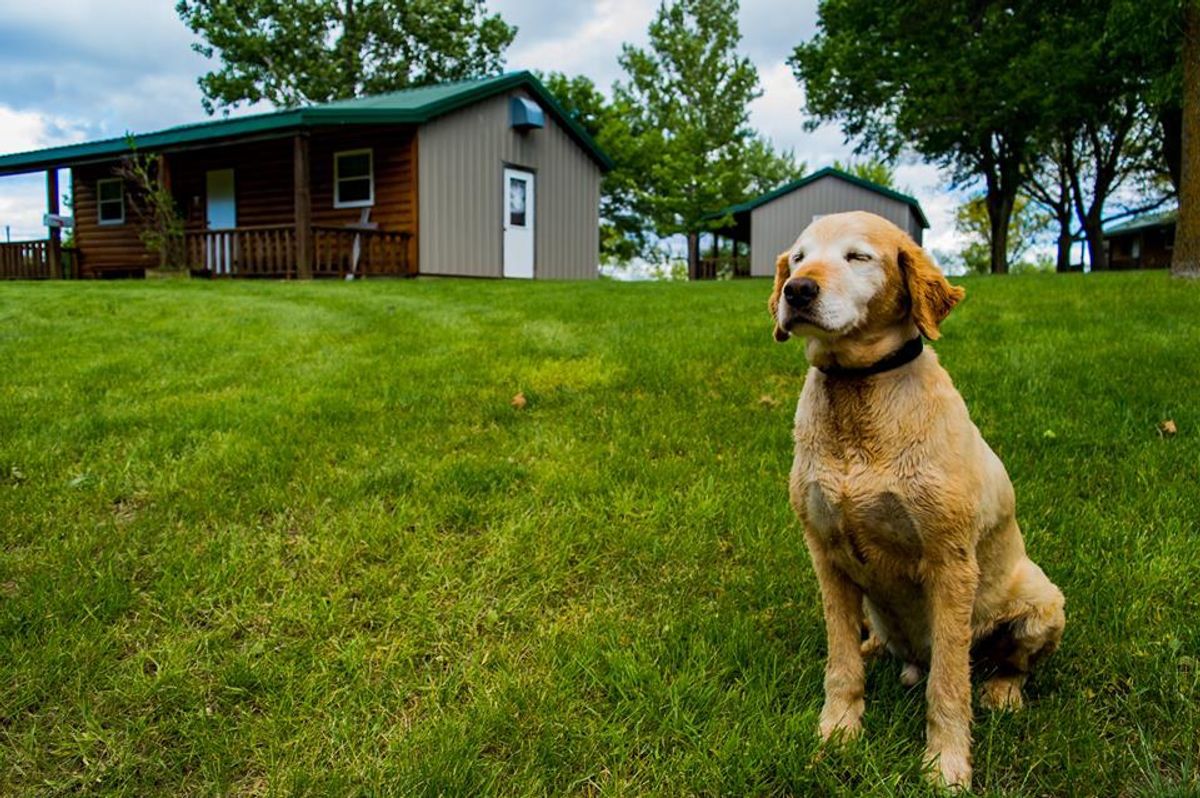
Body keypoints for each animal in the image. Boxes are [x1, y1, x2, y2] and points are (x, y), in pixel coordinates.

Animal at [772, 210, 1065, 782]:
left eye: (857, 256)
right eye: (798, 257)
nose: (797, 291)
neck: (857, 399)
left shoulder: (950, 564)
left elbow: (949, 684)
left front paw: (945, 765)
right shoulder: (825, 553)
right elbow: (840, 663)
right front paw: (837, 731)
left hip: (1044, 603)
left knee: (1009, 664)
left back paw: (1003, 691)